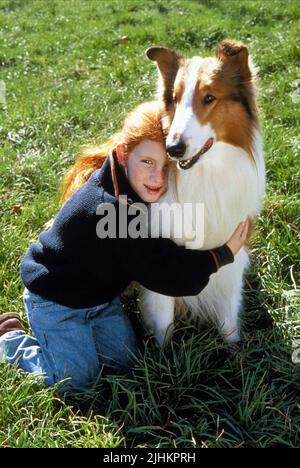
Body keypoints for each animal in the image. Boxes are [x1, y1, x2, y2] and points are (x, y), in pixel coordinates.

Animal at [140, 40, 264, 346]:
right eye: (175, 98)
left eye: (209, 98)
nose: (173, 149)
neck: (207, 175)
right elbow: (164, 324)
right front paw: (164, 356)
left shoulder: (233, 256)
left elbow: (229, 322)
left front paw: (235, 352)